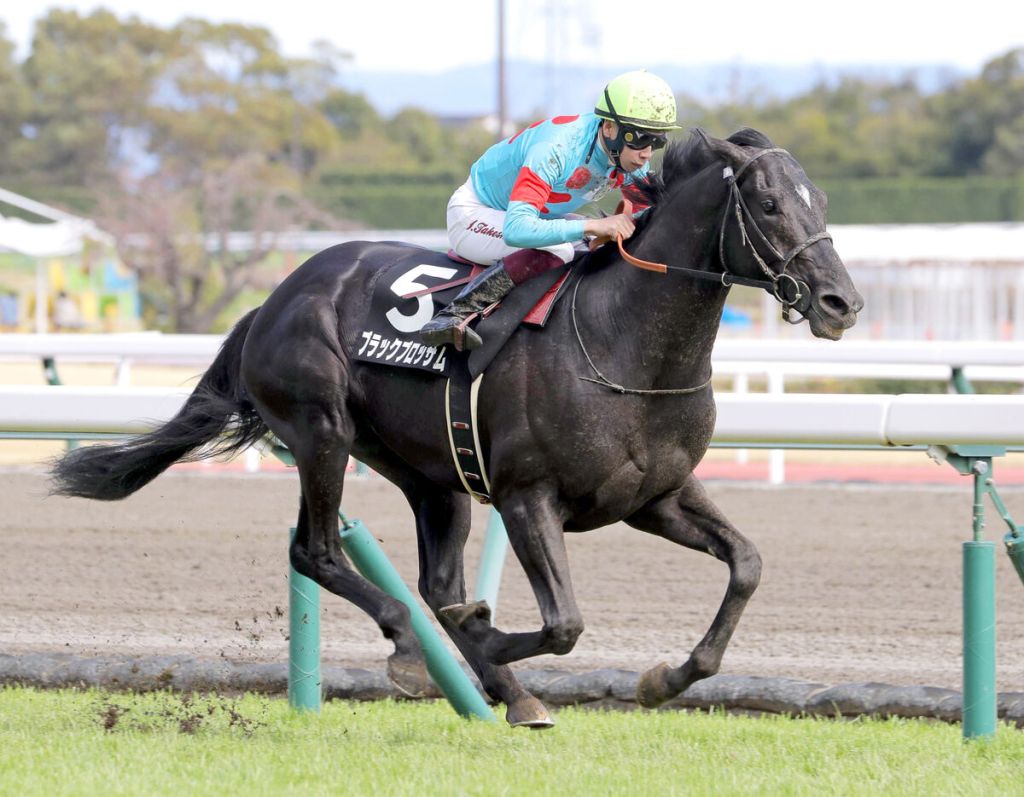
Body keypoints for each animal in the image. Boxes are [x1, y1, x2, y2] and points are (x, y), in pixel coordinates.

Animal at [52, 128, 863, 728]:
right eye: (767, 203)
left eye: (821, 199)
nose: (841, 302)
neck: (622, 339)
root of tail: (276, 297)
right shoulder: (527, 495)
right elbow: (562, 623)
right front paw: (491, 636)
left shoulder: (655, 496)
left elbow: (747, 563)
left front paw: (665, 677)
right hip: (322, 430)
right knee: (320, 551)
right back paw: (416, 650)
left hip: (429, 474)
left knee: (431, 578)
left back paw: (511, 692)